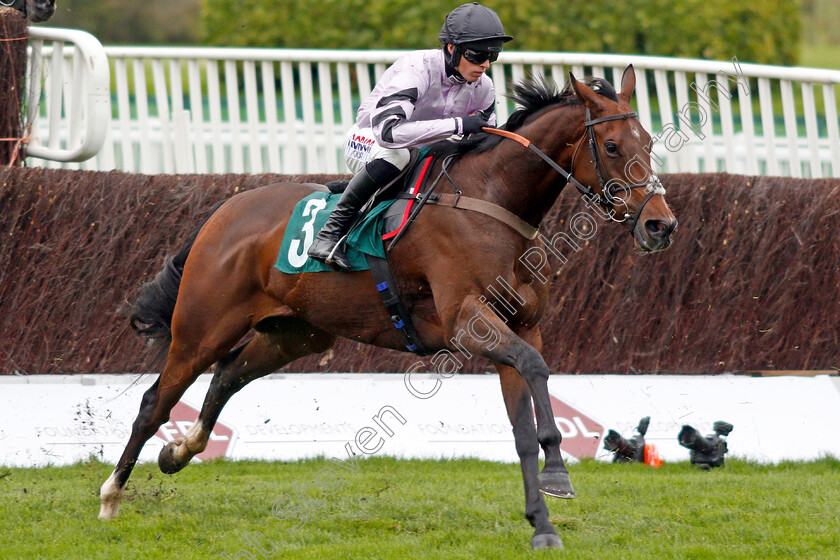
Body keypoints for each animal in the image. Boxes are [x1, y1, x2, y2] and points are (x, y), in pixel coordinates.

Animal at [98, 66, 676, 552]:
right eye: (611, 145)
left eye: (649, 143)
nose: (660, 225)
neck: (492, 201)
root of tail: (226, 209)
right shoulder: (469, 324)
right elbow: (536, 376)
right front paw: (559, 474)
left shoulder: (519, 329)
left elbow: (523, 427)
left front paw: (543, 526)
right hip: (202, 327)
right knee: (156, 401)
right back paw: (110, 496)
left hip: (295, 333)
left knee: (226, 376)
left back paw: (178, 452)